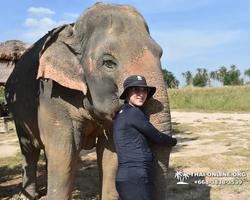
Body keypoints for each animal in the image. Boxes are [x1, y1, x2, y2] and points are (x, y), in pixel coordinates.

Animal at [4, 1, 172, 200]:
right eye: (108, 63)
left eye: (160, 54)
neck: (73, 33)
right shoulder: (50, 94)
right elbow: (64, 152)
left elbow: (111, 153)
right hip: (17, 111)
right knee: (29, 149)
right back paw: (27, 195)